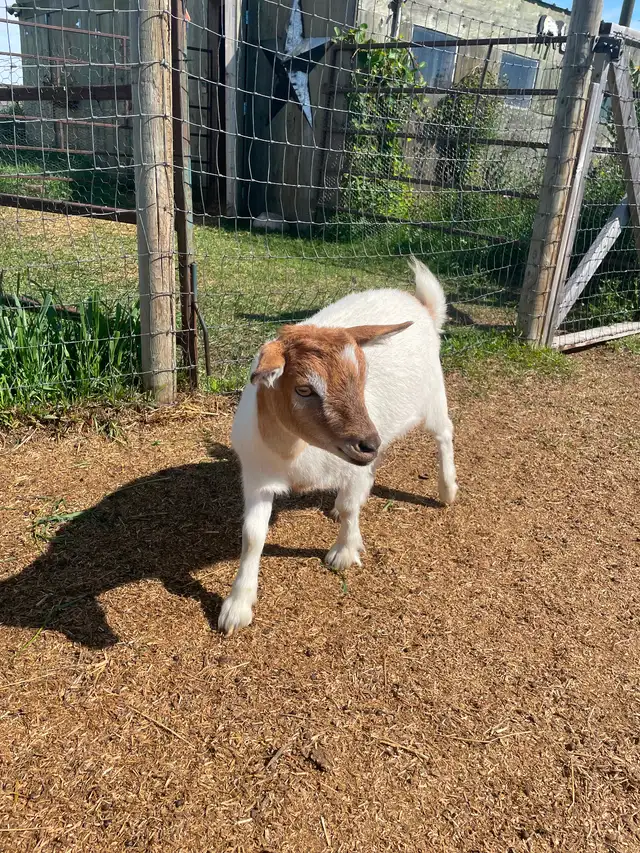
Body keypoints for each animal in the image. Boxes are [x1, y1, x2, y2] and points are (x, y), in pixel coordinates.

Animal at [218, 258, 458, 635]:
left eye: (362, 375)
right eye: (304, 389)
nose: (368, 442)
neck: (295, 454)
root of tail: (422, 306)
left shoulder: (350, 467)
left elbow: (348, 507)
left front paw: (344, 552)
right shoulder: (257, 478)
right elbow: (253, 535)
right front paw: (237, 606)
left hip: (433, 395)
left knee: (444, 433)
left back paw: (447, 489)